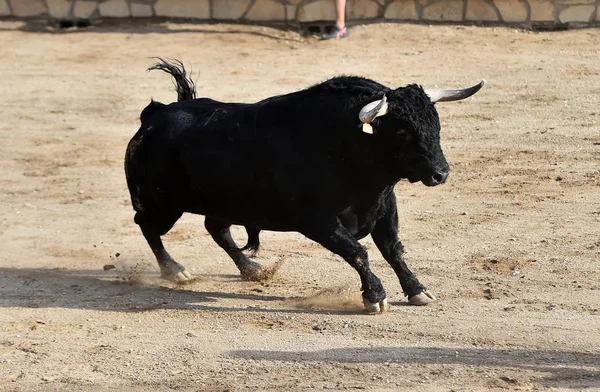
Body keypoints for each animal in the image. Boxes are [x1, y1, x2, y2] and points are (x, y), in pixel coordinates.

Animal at [125, 59, 482, 312]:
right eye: (403, 131)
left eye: (435, 124)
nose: (440, 174)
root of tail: (155, 115)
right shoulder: (316, 220)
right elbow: (357, 251)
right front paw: (374, 296)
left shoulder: (383, 206)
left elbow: (393, 249)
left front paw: (418, 290)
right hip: (162, 203)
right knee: (147, 225)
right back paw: (174, 270)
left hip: (224, 202)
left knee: (216, 228)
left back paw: (253, 269)